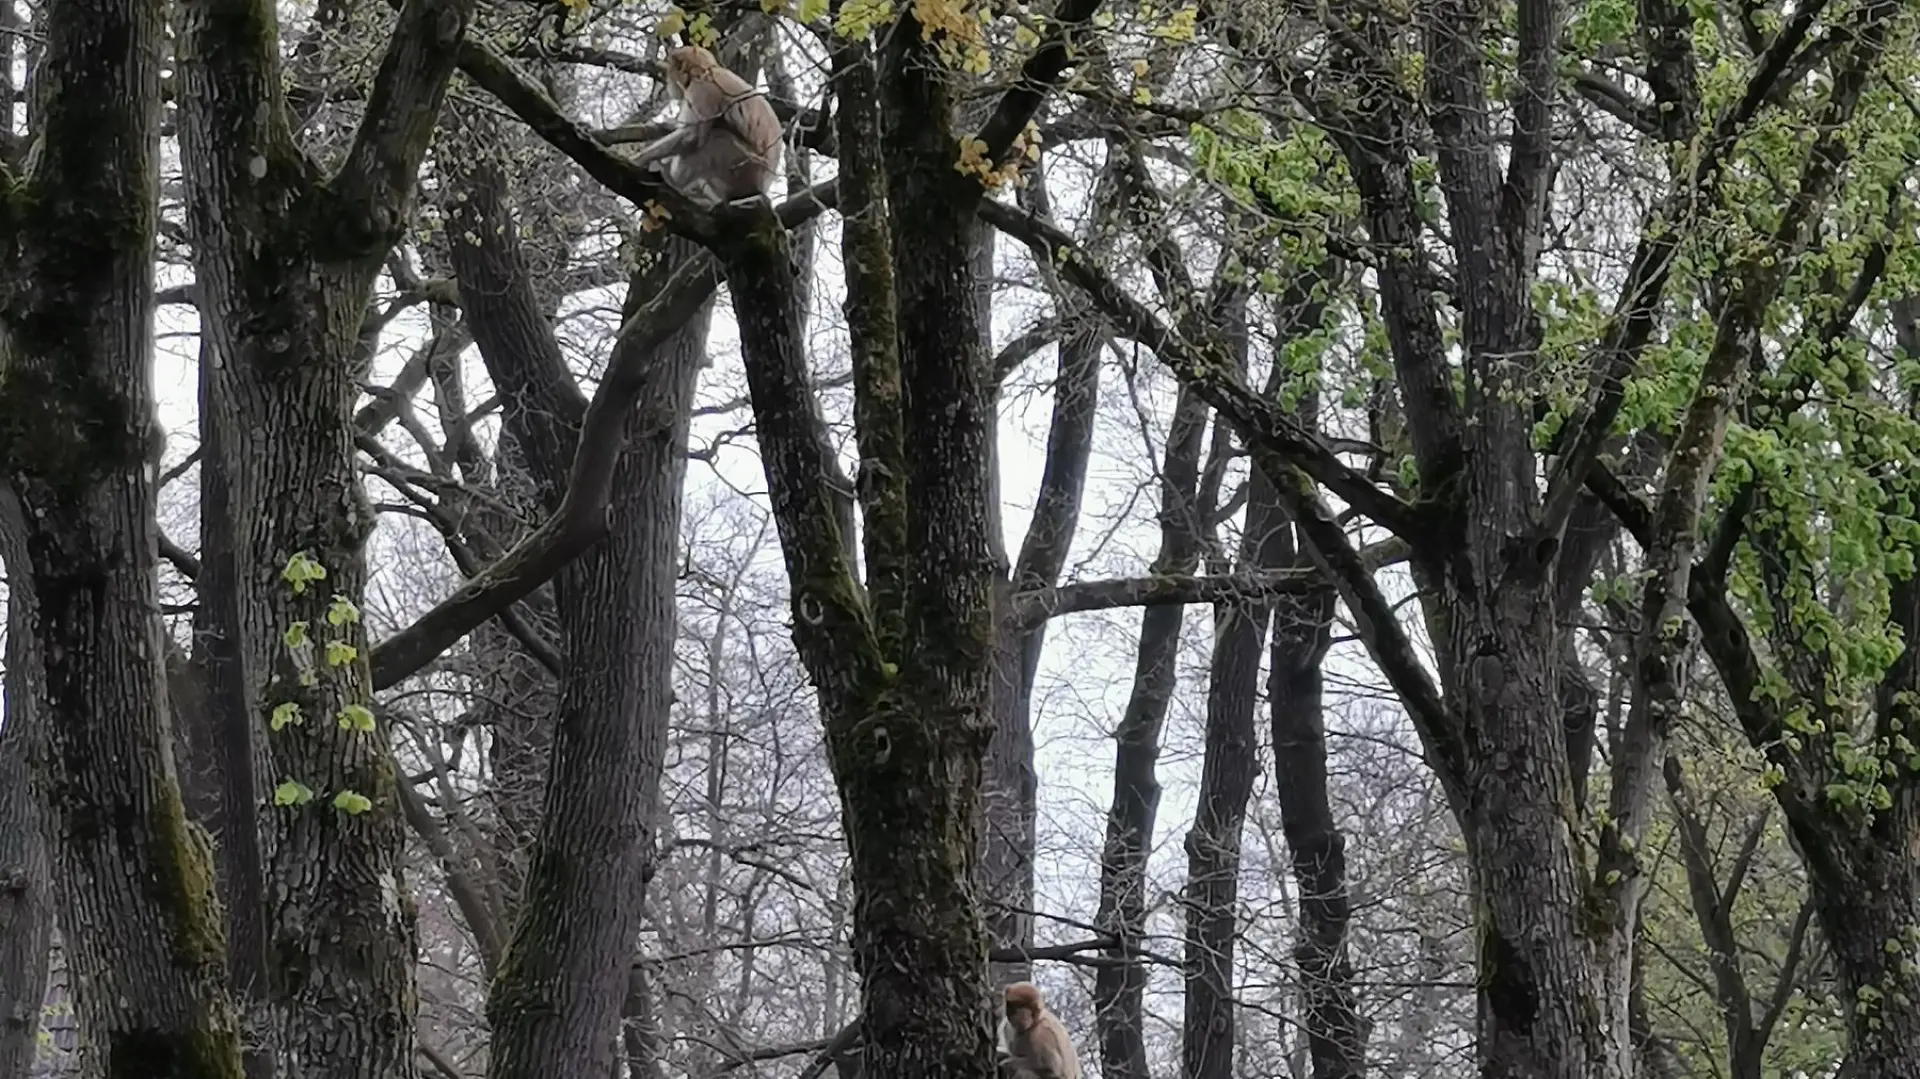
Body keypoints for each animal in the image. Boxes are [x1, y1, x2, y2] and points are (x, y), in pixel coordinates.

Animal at [630, 45, 783, 208]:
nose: (668, 83)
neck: (704, 71)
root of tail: (763, 185)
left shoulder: (702, 89)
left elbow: (692, 137)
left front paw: (639, 158)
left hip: (745, 168)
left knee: (715, 138)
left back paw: (673, 180)